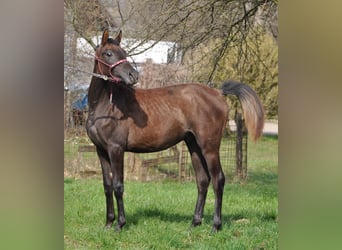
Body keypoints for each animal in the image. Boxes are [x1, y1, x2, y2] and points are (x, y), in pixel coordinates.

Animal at [86, 29, 264, 232]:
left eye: (123, 51)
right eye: (108, 53)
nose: (133, 76)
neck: (105, 106)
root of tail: (218, 93)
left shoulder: (116, 149)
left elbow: (118, 186)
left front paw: (120, 224)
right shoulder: (101, 150)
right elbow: (107, 186)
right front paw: (108, 223)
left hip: (209, 147)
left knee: (218, 179)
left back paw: (216, 226)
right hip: (193, 146)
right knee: (202, 180)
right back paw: (194, 223)